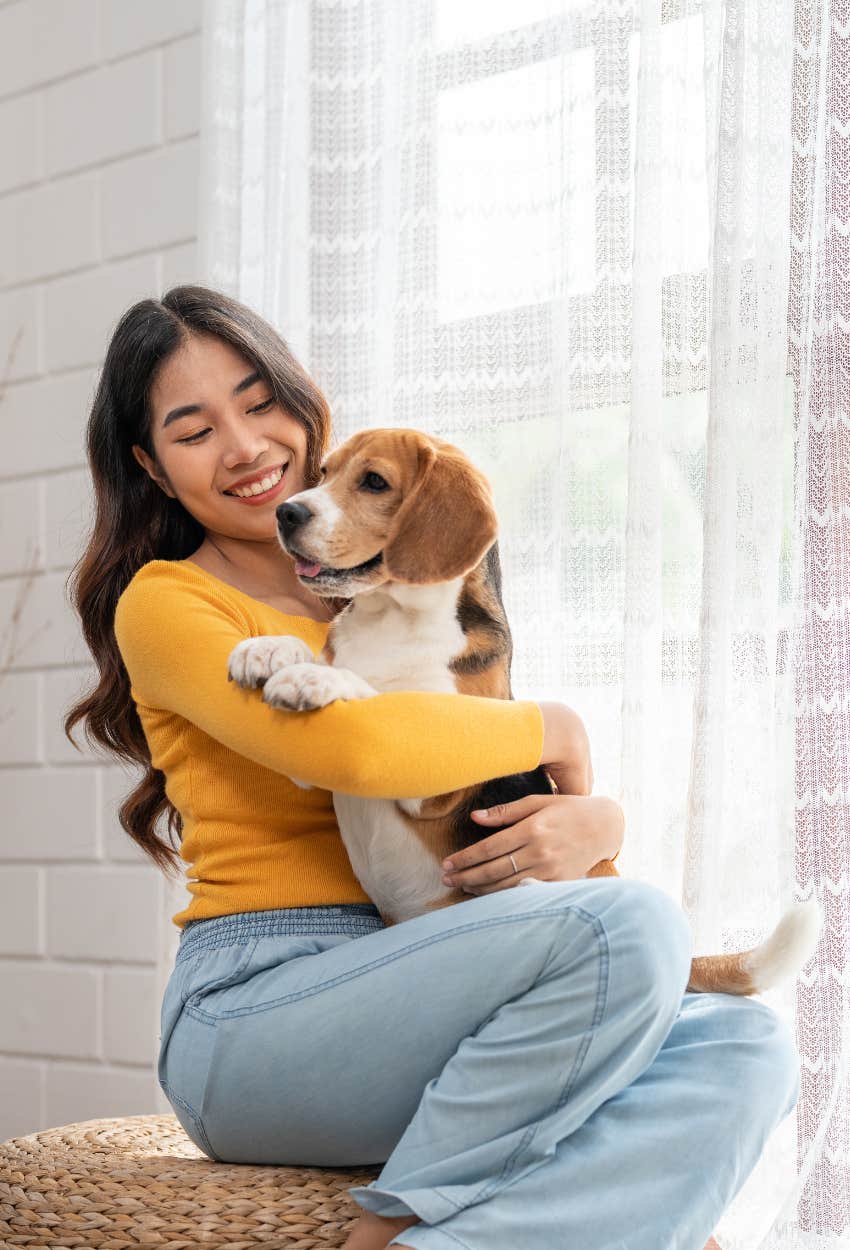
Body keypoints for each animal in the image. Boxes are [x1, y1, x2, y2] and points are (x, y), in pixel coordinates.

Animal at [226, 430, 815, 995]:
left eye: (374, 482)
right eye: (324, 473)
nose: (286, 513)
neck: (390, 619)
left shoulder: (436, 781)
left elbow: (383, 695)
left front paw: (316, 677)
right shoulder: (313, 768)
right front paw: (272, 651)